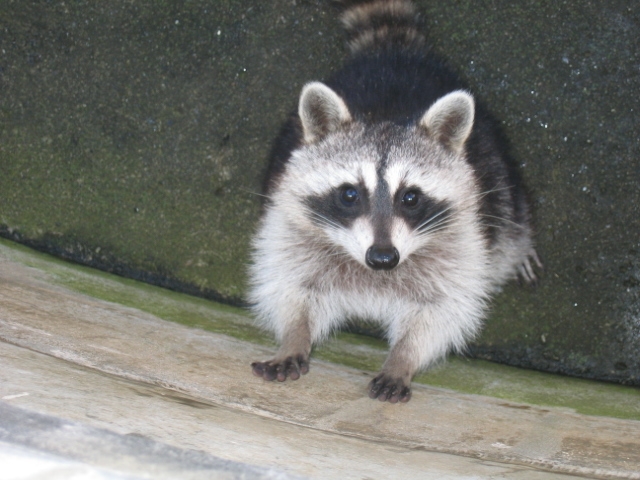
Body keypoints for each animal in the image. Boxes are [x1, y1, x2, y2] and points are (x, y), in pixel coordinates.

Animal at [250, 0, 540, 404]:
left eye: (411, 197)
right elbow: (290, 287)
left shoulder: (461, 246)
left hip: (497, 176)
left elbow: (440, 313)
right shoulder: (288, 225)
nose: (383, 258)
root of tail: (394, 54)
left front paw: (403, 358)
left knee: (510, 226)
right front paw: (294, 336)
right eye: (350, 194)